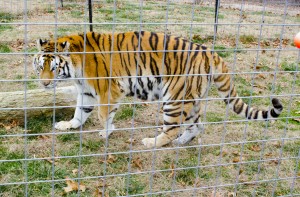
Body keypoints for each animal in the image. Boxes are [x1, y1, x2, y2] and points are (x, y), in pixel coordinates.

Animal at [32, 31, 284, 148]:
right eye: (40, 66)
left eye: (54, 68)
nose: (44, 83)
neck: (75, 67)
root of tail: (210, 53)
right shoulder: (85, 91)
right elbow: (80, 112)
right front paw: (69, 125)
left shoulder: (109, 91)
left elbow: (104, 114)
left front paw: (107, 131)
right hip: (191, 99)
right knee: (197, 125)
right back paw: (182, 141)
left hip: (173, 97)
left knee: (172, 128)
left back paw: (152, 142)